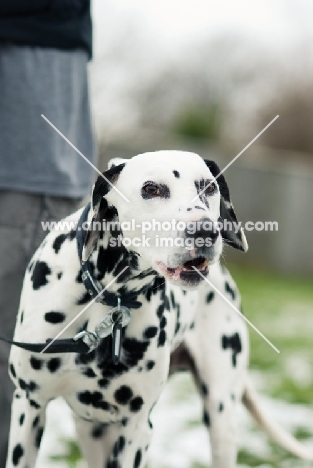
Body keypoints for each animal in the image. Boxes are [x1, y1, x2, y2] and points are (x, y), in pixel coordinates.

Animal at [5, 151, 312, 468]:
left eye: (209, 187)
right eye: (151, 189)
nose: (205, 231)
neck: (109, 300)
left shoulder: (136, 427)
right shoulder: (29, 405)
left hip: (221, 418)